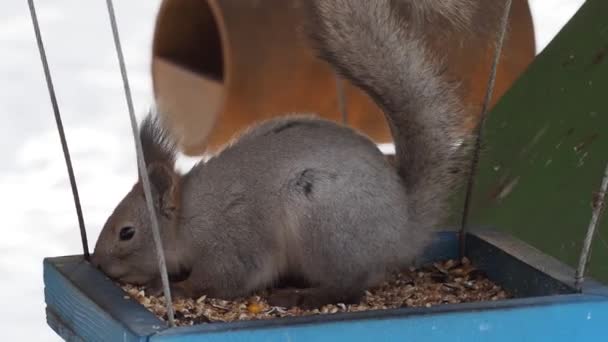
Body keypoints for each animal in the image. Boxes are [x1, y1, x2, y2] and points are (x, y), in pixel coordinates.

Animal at [92, 0, 506, 308]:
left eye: (126, 233)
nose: (97, 263)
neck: (189, 218)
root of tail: (403, 229)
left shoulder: (233, 240)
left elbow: (224, 278)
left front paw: (178, 288)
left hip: (323, 222)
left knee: (350, 284)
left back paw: (300, 296)